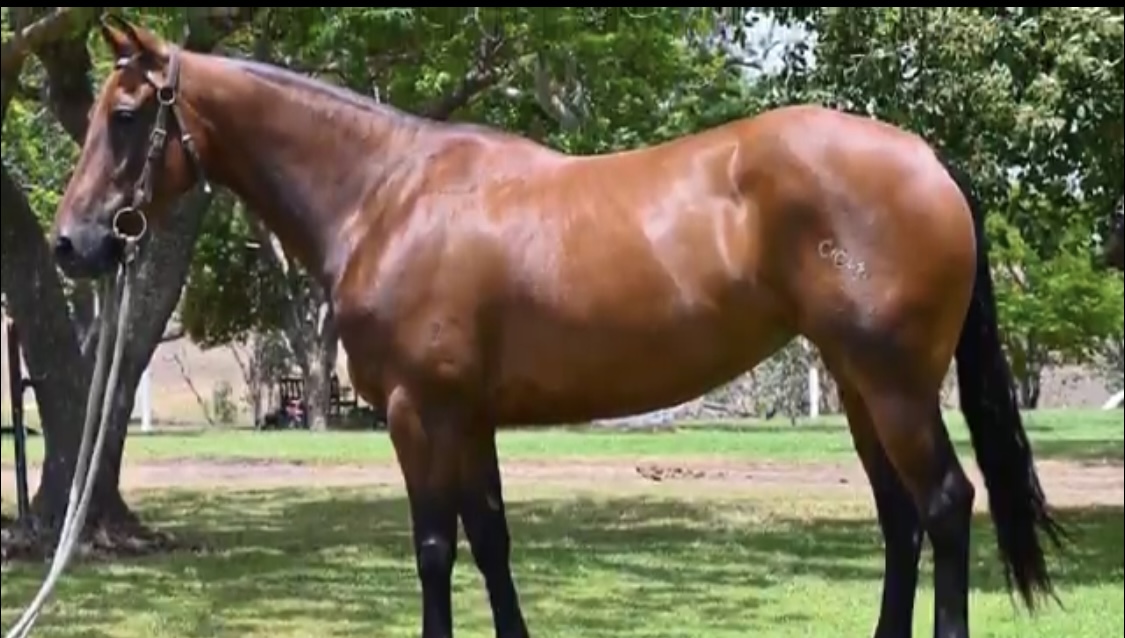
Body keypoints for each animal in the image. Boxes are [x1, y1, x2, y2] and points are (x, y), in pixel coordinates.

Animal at [51, 17, 1063, 638]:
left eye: (127, 115)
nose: (72, 243)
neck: (386, 194)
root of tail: (926, 158)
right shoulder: (468, 417)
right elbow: (491, 540)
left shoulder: (419, 414)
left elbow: (433, 549)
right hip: (857, 386)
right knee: (899, 520)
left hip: (894, 387)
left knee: (944, 505)